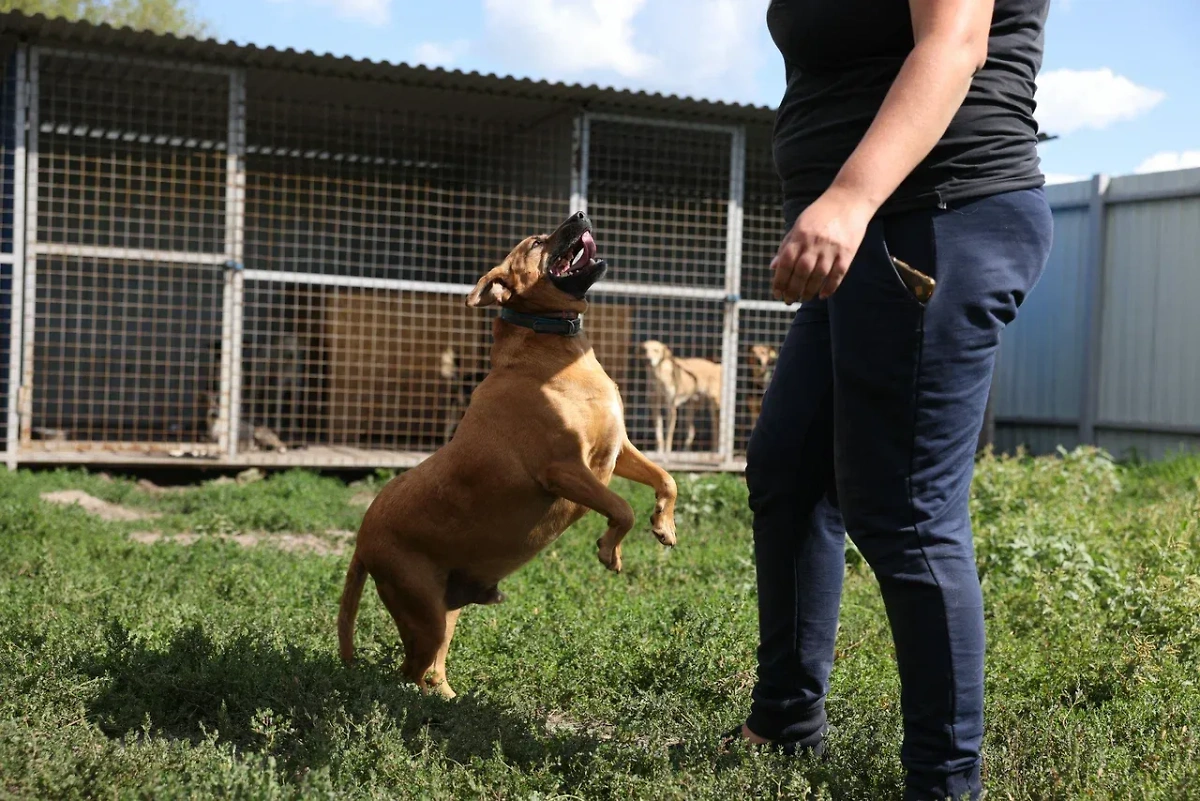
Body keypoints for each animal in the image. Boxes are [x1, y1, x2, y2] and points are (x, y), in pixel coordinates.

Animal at [338, 214, 681, 700]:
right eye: (536, 242)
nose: (580, 215)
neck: (549, 343)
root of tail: (363, 540)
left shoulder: (618, 450)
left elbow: (667, 479)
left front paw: (664, 525)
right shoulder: (564, 469)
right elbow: (622, 508)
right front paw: (610, 549)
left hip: (445, 613)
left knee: (433, 669)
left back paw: (451, 700)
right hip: (422, 613)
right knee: (408, 672)